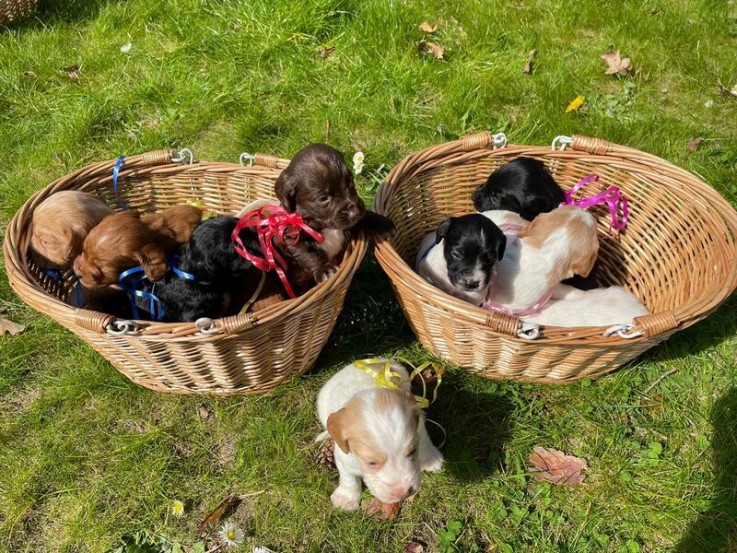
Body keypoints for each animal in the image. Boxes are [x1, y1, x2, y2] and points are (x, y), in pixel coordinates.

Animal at [316, 360, 442, 512]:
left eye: (412, 451)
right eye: (372, 463)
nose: (404, 493)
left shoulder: (419, 421)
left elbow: (423, 439)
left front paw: (431, 459)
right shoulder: (343, 457)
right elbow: (348, 477)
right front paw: (346, 498)